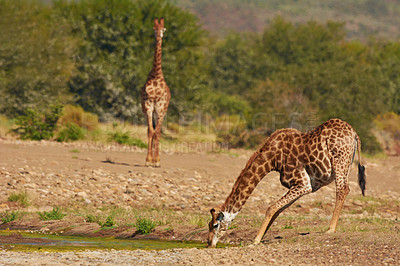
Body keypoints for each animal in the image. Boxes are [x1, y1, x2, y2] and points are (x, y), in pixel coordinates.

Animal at [208, 118, 368, 247]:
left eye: (215, 225)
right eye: (209, 224)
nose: (209, 243)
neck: (272, 159)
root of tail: (354, 134)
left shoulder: (302, 183)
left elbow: (271, 208)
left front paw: (255, 240)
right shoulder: (304, 186)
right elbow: (278, 210)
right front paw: (262, 237)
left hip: (339, 160)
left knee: (343, 189)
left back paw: (330, 229)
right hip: (346, 164)